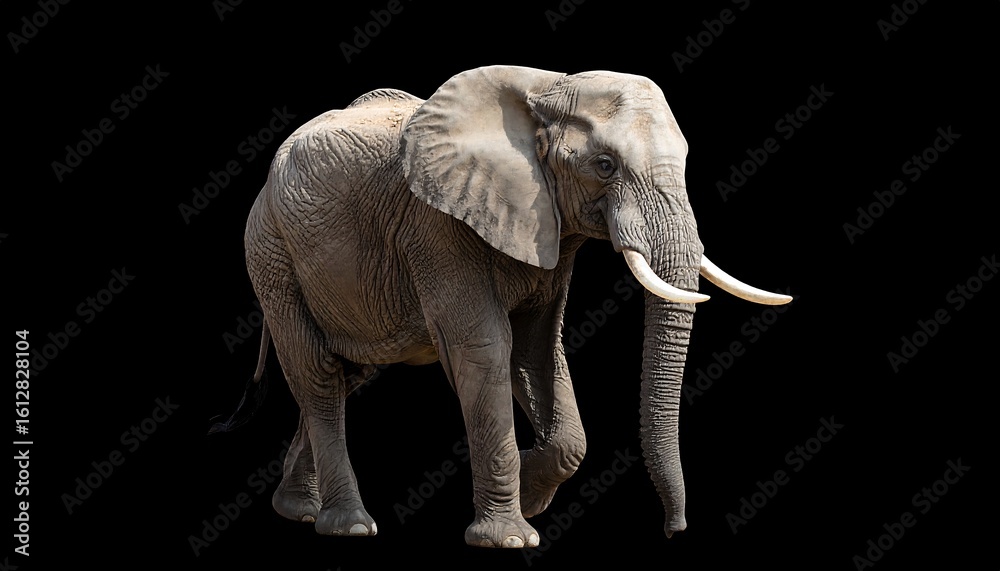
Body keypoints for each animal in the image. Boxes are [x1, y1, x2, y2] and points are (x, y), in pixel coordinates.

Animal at [213, 65, 792, 548]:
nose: (675, 529)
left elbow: (537, 352)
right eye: (604, 165)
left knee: (341, 373)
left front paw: (533, 492)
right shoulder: (437, 225)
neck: (548, 87)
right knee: (316, 373)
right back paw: (349, 526)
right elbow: (485, 349)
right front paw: (511, 537)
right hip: (271, 253)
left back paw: (297, 510)